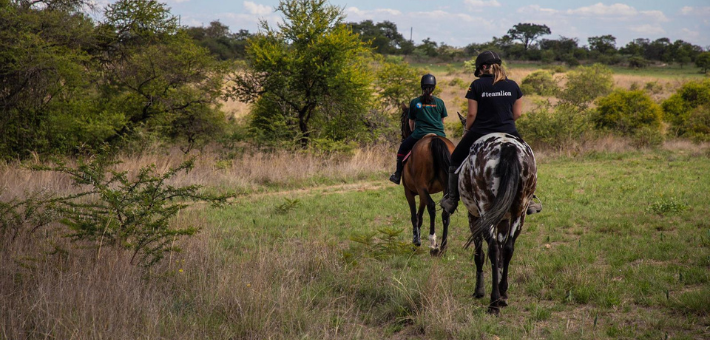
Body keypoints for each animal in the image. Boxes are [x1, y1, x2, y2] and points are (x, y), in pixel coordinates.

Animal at [400, 105, 456, 254]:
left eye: (403, 120)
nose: (402, 136)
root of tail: (433, 140)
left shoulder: (410, 192)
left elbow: (414, 217)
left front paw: (416, 242)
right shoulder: (422, 194)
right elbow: (419, 216)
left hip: (421, 187)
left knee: (432, 207)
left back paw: (433, 243)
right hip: (445, 187)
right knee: (445, 211)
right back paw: (443, 246)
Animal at [458, 131, 536, 314]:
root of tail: (508, 146)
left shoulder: (474, 217)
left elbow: (480, 254)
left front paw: (479, 291)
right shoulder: (503, 219)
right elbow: (501, 252)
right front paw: (502, 292)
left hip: (485, 209)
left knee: (492, 249)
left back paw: (493, 302)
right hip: (520, 212)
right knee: (508, 248)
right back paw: (502, 294)